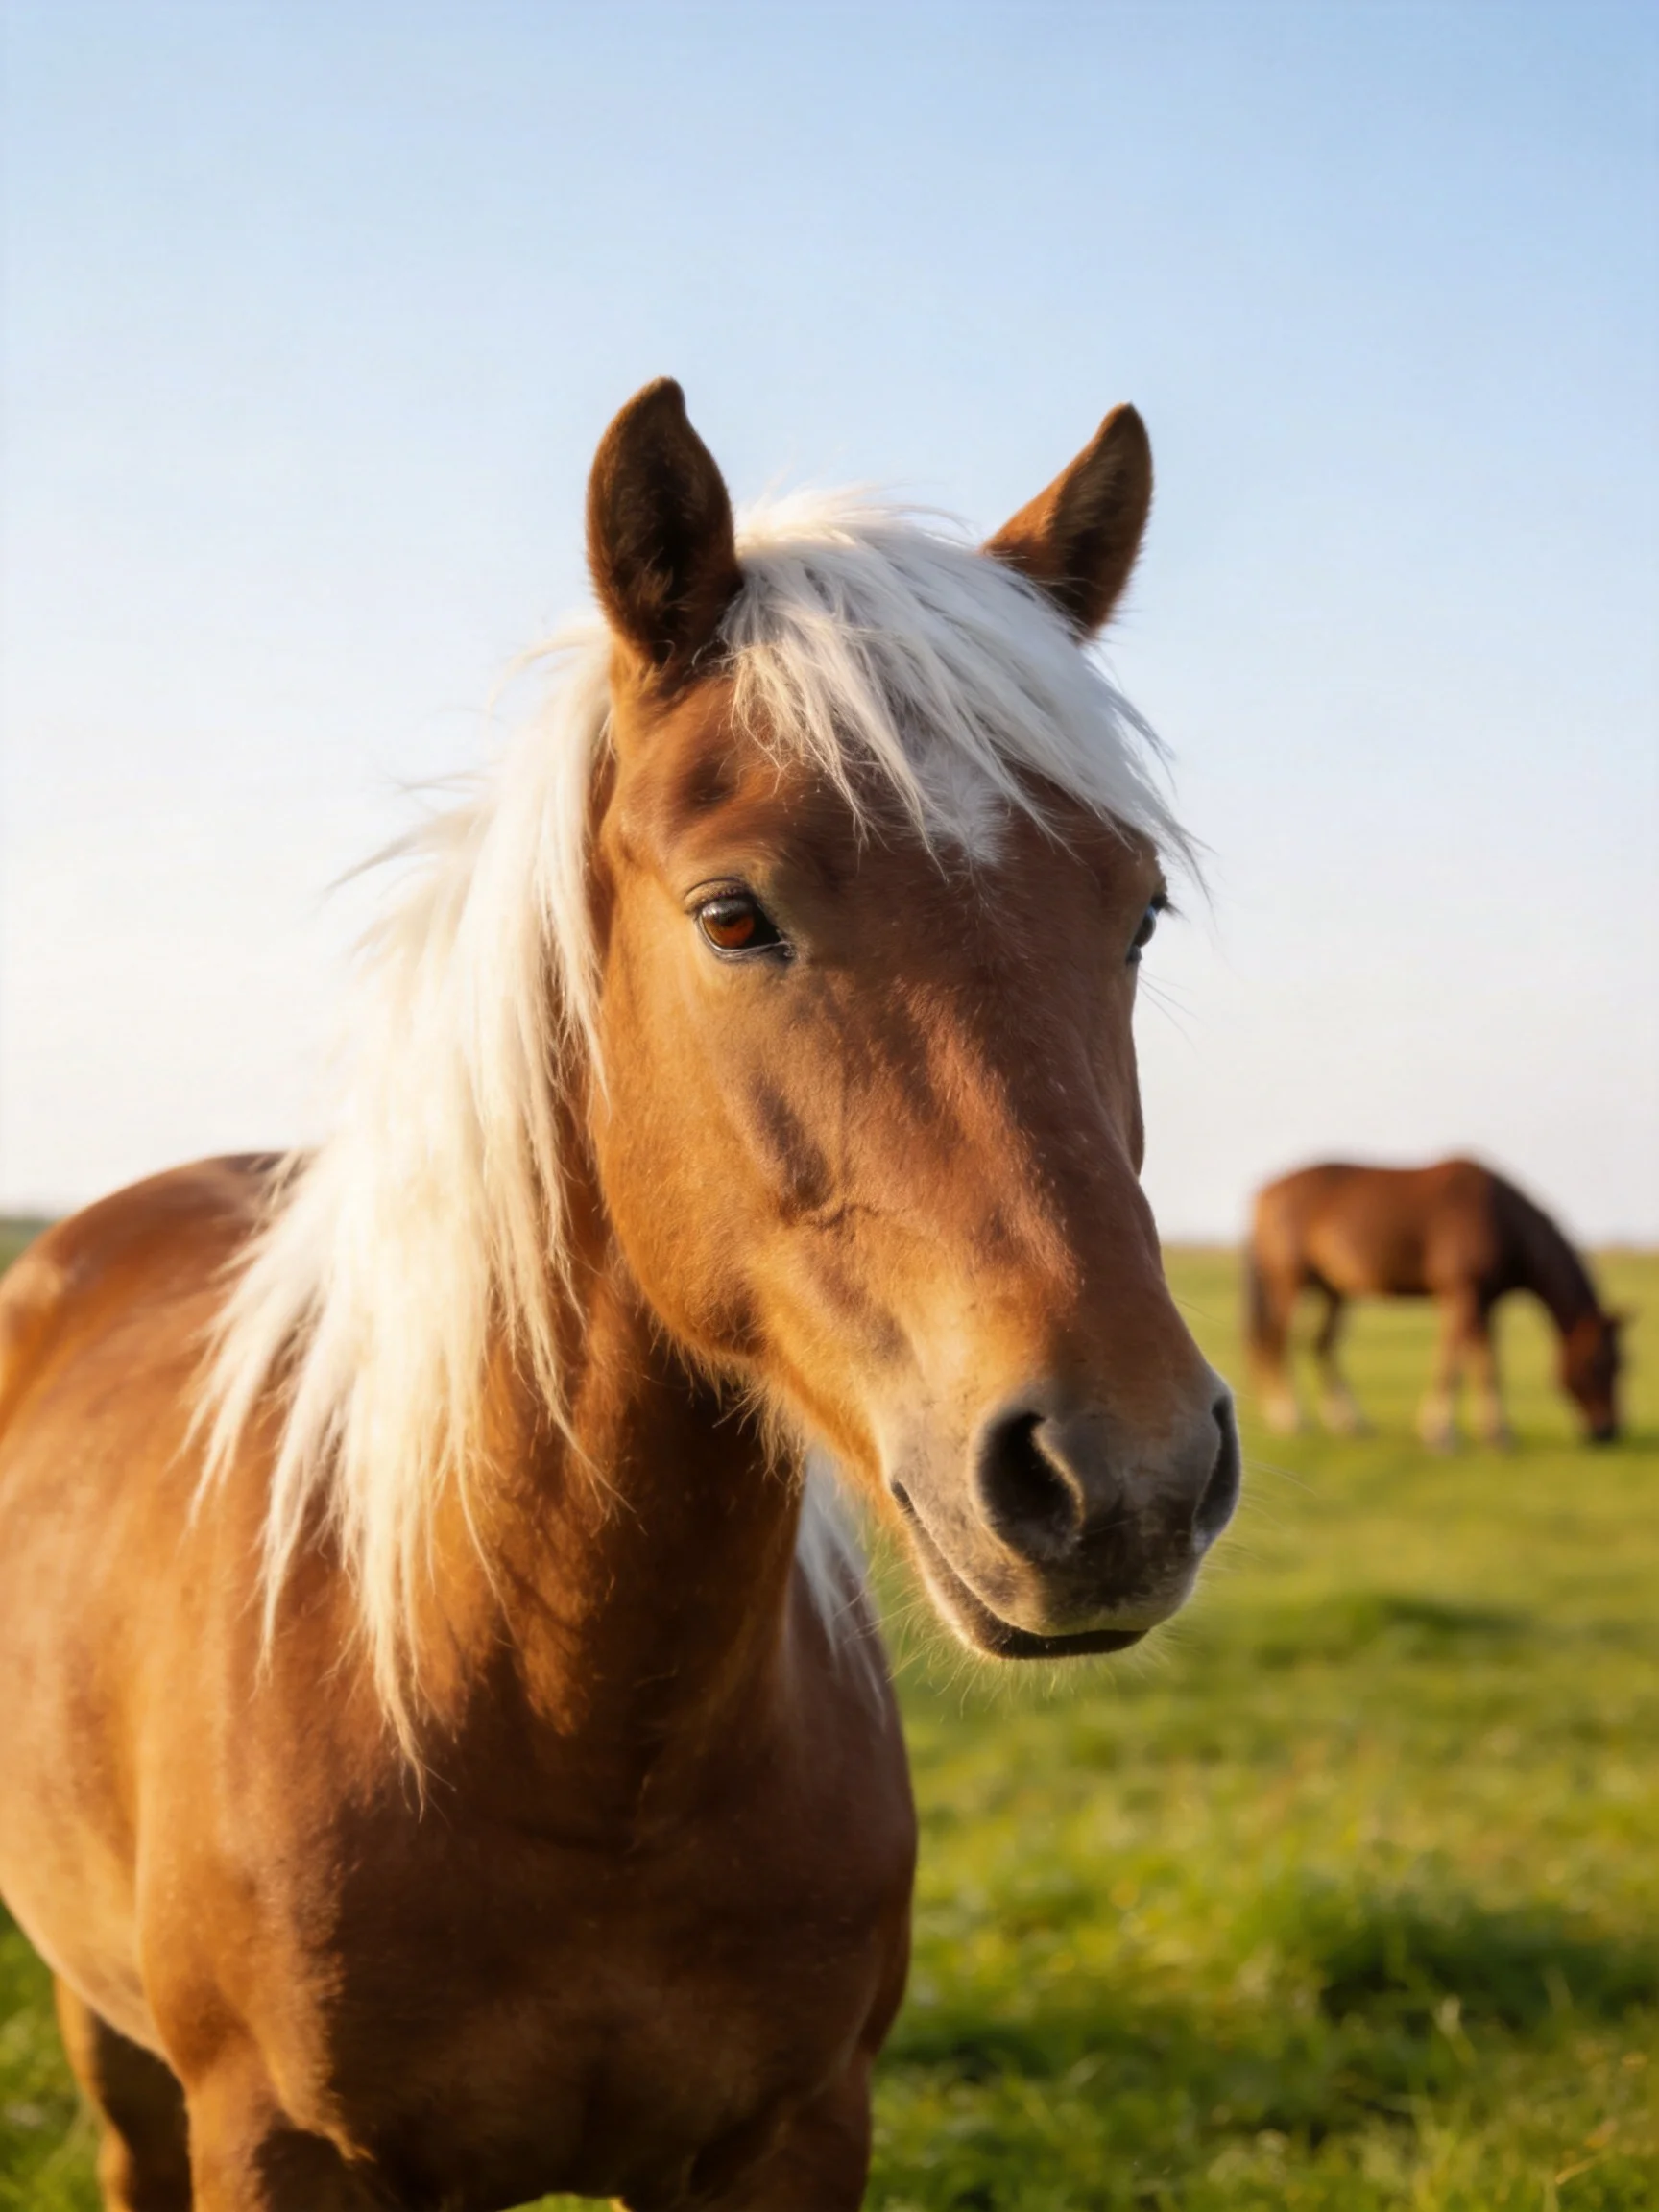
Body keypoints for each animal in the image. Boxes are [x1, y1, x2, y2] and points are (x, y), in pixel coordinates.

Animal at [0, 379, 1240, 2212]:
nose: (1124, 1478)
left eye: (1137, 909)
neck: (573, 1729)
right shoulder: (277, 2143)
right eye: (732, 914)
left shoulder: (792, 2135)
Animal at [1244, 1157, 1626, 1447]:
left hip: (1333, 1290)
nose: (1608, 1432)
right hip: (1287, 1283)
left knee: (1321, 1345)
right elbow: (1452, 1361)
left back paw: (1349, 1422)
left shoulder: (1486, 1303)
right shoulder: (1462, 1294)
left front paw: (1497, 1432)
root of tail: (1266, 1193)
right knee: (1276, 1342)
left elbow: (1487, 1363)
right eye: (1598, 1364)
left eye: (1624, 1365)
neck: (1499, 1218)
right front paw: (1441, 1432)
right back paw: (1289, 1417)